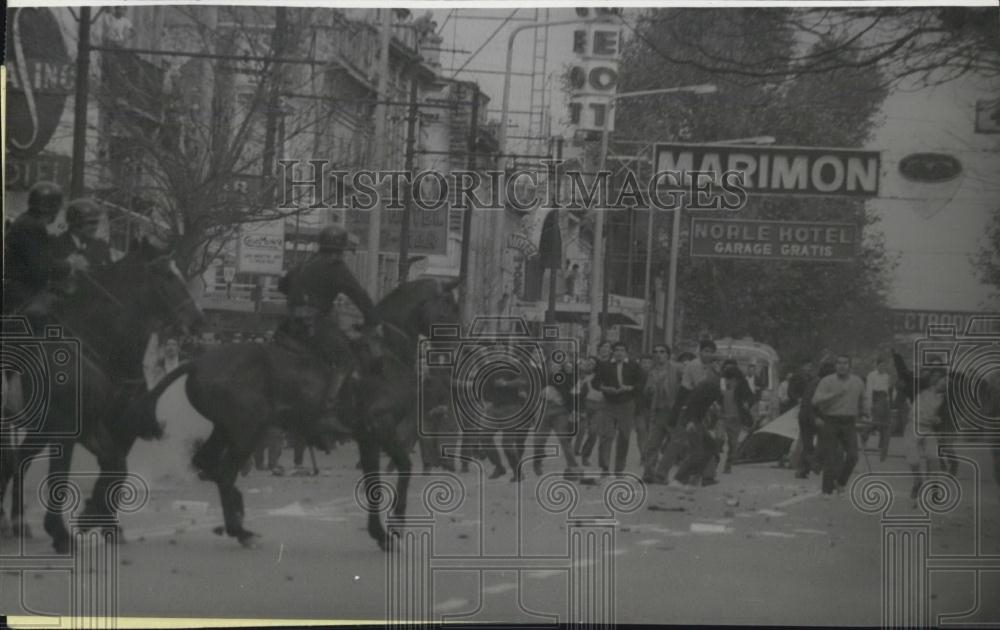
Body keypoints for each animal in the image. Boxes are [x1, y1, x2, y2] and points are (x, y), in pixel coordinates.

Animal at [0, 242, 205, 552]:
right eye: (167, 276)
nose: (198, 321)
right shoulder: (67, 429)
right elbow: (61, 475)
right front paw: (62, 532)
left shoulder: (96, 427)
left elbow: (115, 466)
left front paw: (96, 519)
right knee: (13, 461)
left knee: (17, 460)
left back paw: (17, 523)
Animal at [130, 278, 460, 552]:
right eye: (450, 308)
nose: (453, 352)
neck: (384, 360)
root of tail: (198, 362)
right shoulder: (378, 428)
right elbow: (397, 470)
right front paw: (392, 528)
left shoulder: (369, 437)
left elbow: (378, 479)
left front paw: (383, 531)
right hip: (246, 431)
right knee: (224, 472)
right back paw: (241, 529)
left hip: (226, 429)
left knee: (207, 463)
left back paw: (236, 514)